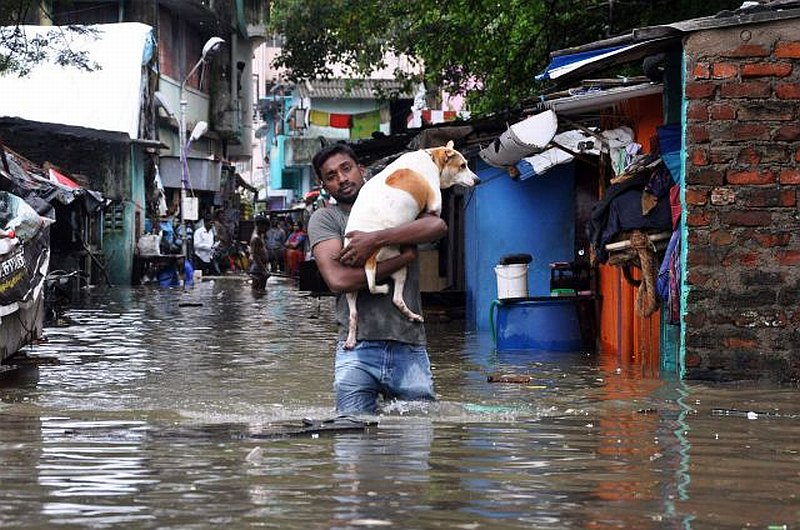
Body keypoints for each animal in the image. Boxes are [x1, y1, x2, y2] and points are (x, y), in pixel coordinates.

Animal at [342, 140, 478, 346]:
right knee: (396, 299)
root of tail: (370, 257)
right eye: (463, 166)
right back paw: (413, 315)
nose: (478, 180)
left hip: (352, 285)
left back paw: (351, 339)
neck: (432, 157)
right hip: (399, 266)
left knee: (354, 313)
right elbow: (432, 212)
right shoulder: (434, 209)